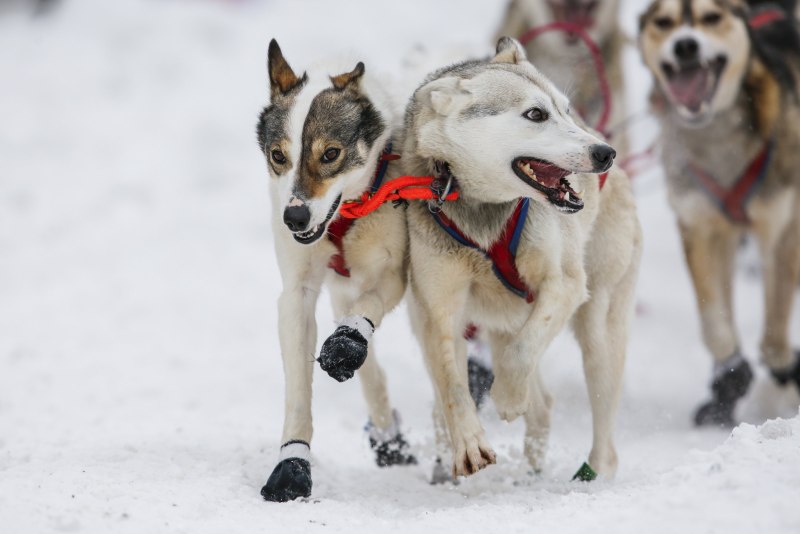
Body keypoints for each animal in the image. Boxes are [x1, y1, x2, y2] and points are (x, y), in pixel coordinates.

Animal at [636, 0, 800, 428]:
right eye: (664, 23)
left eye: (711, 17)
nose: (685, 46)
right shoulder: (701, 228)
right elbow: (714, 322)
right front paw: (730, 378)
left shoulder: (781, 231)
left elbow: (775, 335)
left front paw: (787, 372)